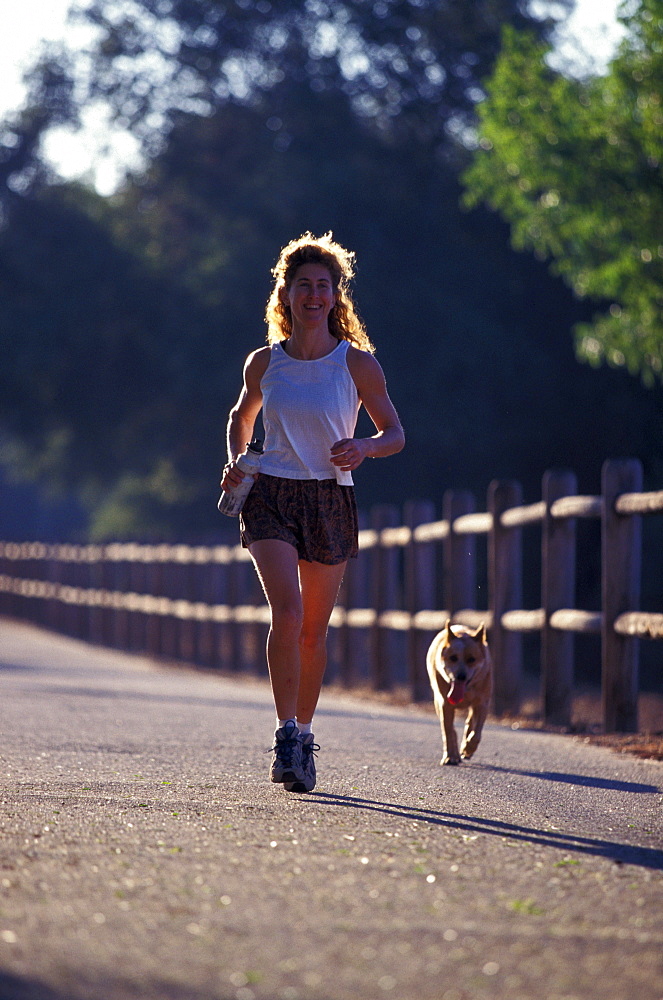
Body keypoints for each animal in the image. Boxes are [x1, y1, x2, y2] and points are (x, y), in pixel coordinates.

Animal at [426, 616, 492, 764]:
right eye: (453, 658)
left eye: (472, 659)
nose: (460, 676)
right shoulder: (445, 703)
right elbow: (448, 731)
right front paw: (450, 756)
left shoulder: (482, 703)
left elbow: (476, 733)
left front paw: (468, 748)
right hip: (437, 701)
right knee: (451, 729)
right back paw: (455, 754)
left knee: (469, 722)